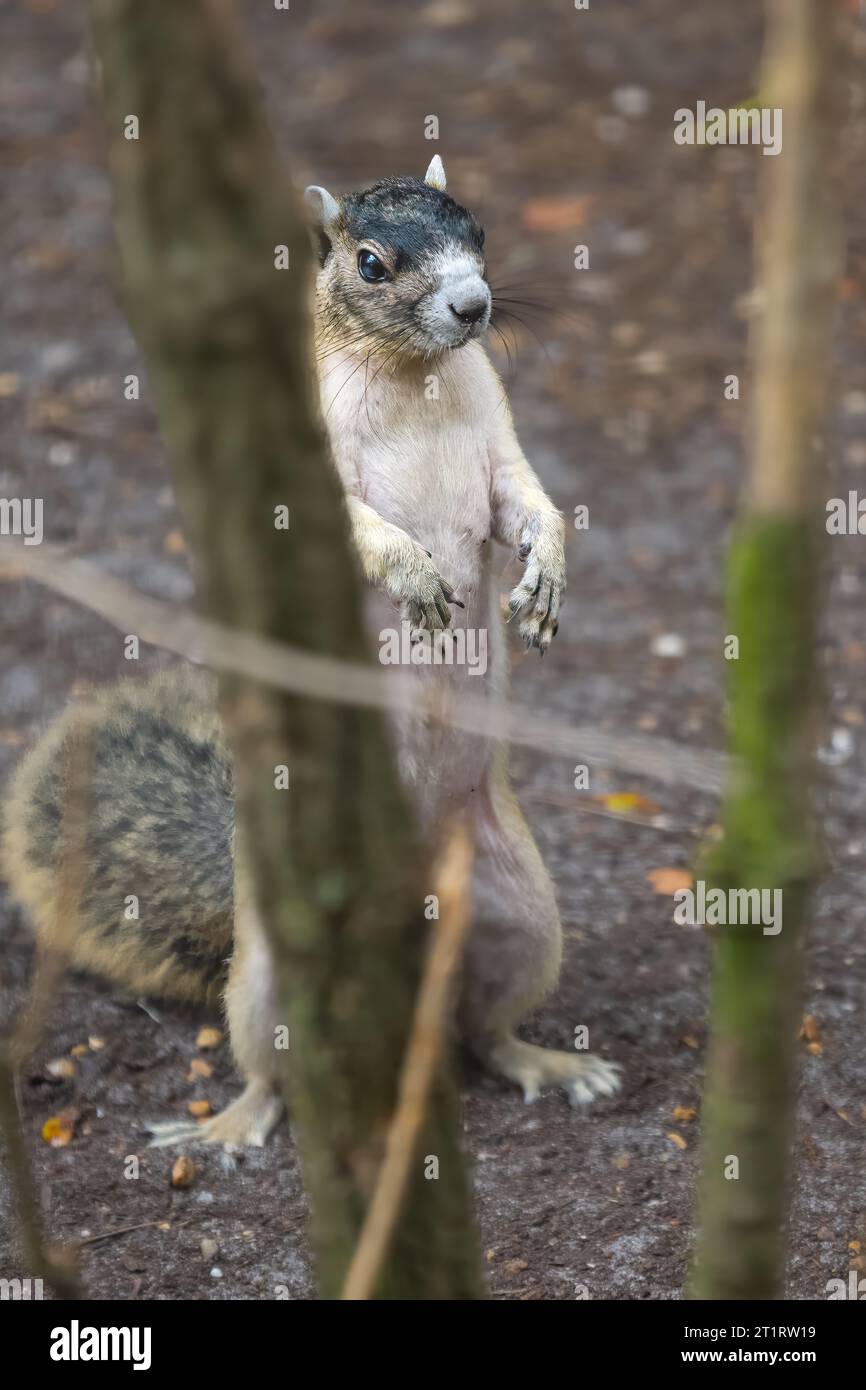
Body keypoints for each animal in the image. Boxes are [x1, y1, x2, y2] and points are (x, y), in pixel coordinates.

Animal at [3, 157, 619, 1145]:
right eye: (370, 263)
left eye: (479, 230)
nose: (475, 305)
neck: (415, 379)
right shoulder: (308, 466)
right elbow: (360, 531)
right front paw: (412, 575)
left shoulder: (497, 441)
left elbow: (525, 500)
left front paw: (549, 575)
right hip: (268, 973)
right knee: (275, 1064)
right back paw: (232, 1122)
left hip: (522, 916)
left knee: (484, 1028)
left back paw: (548, 1062)